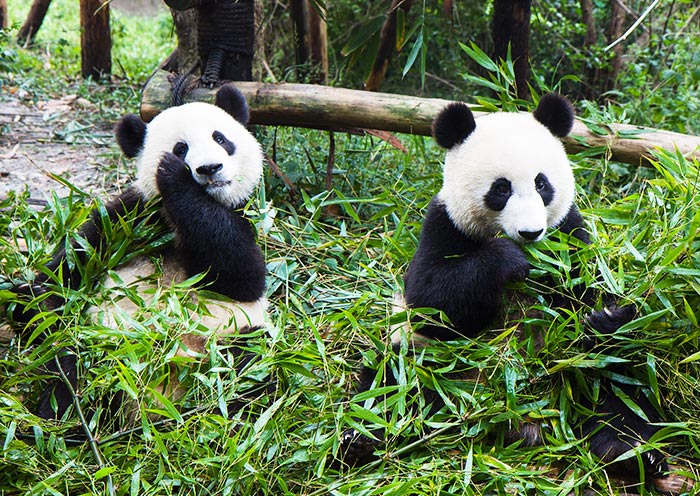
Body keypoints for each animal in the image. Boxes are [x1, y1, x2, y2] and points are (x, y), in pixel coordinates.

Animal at [9, 84, 270, 422]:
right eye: (181, 148)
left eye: (220, 138)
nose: (210, 169)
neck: (175, 219)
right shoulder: (126, 220)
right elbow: (62, 275)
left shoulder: (243, 216)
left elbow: (244, 276)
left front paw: (176, 180)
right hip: (101, 345)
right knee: (71, 362)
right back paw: (66, 413)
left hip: (228, 340)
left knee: (248, 362)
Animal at [342, 94, 668, 484]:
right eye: (501, 188)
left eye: (542, 184)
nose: (531, 233)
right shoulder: (443, 224)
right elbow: (430, 300)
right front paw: (507, 259)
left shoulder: (569, 235)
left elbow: (592, 293)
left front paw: (606, 316)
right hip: (433, 364)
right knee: (393, 384)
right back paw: (360, 441)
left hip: (580, 365)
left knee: (619, 382)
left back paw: (631, 453)